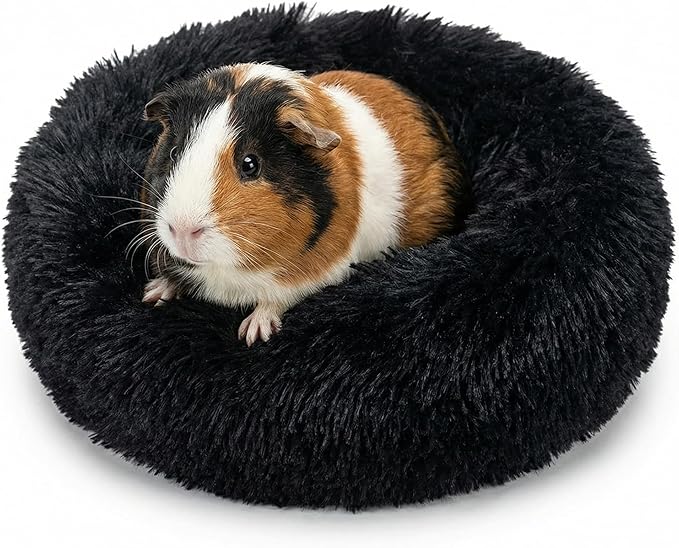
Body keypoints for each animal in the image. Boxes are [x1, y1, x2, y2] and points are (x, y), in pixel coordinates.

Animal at [139, 63, 469, 345]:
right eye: (174, 152)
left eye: (250, 164)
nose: (183, 231)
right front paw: (153, 293)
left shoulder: (318, 272)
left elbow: (276, 299)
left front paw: (253, 333)